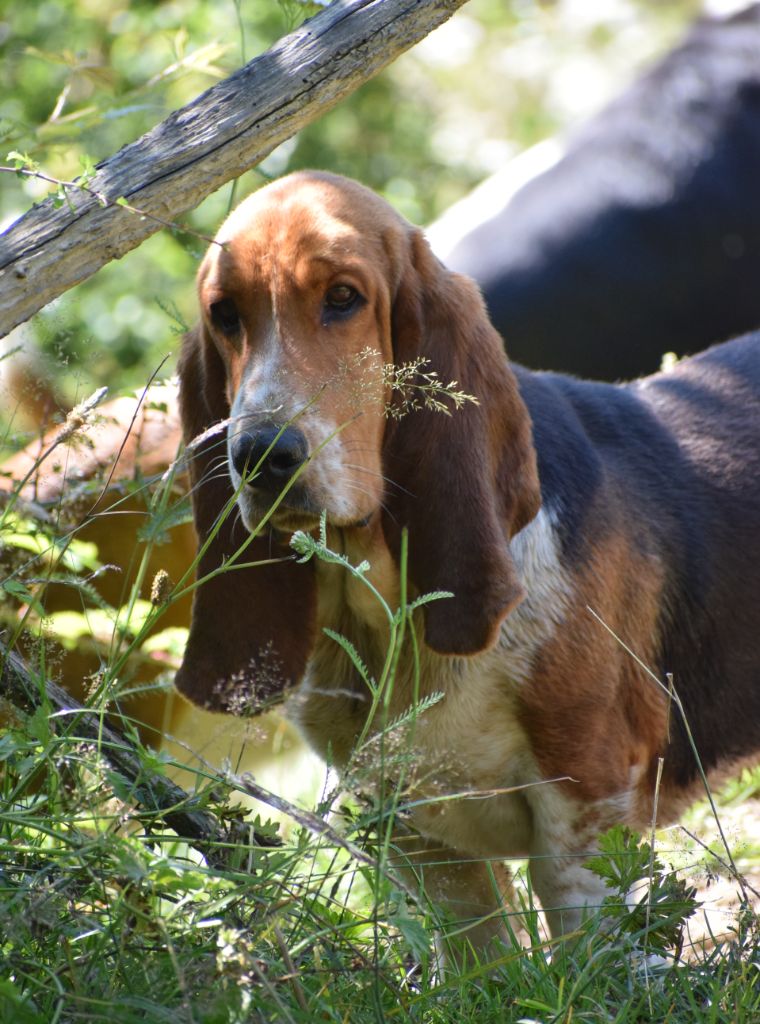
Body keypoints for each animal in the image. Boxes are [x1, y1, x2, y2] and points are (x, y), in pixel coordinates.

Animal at [175, 169, 760, 950]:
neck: (386, 613)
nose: (260, 454)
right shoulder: (422, 847)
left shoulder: (585, 804)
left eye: (343, 298)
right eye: (224, 314)